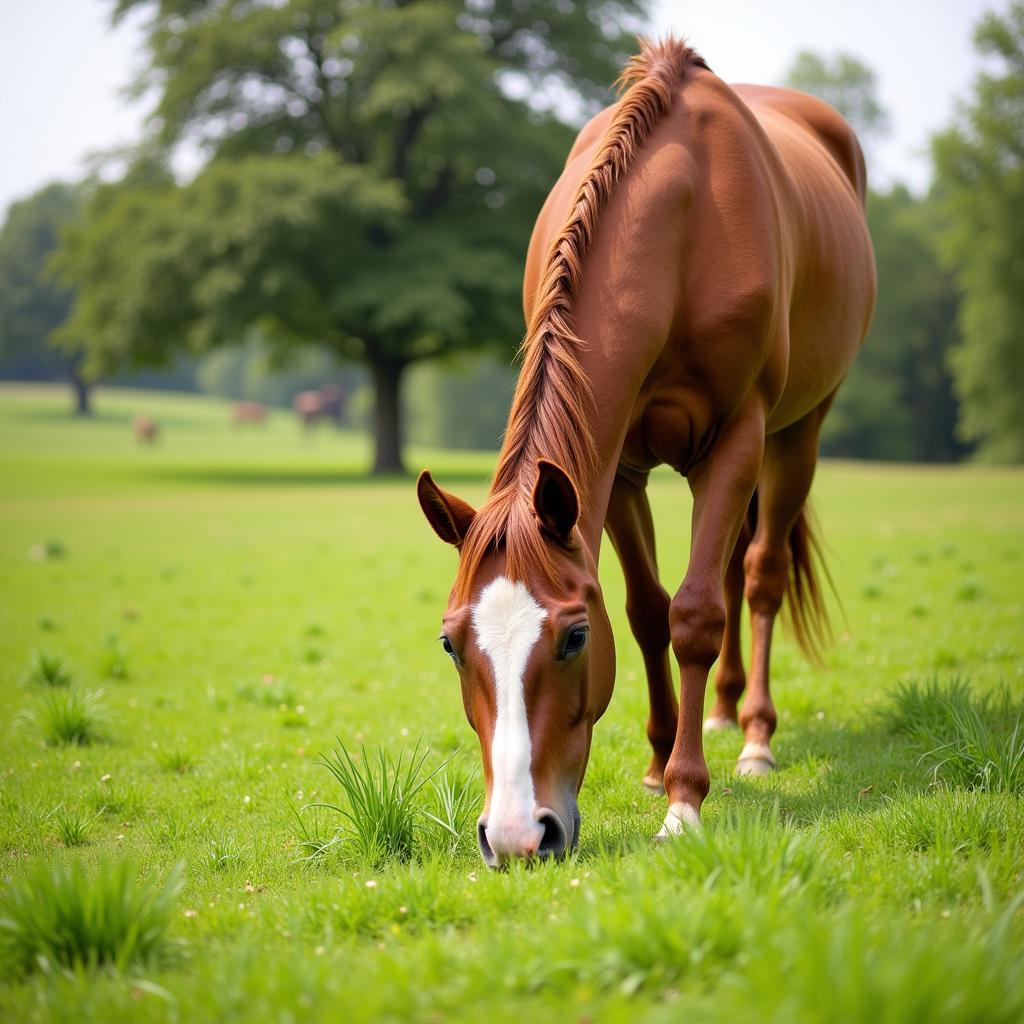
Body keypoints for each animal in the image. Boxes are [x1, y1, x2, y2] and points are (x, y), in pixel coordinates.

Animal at [415, 36, 872, 864]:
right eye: (450, 644)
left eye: (572, 638)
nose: (517, 836)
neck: (682, 226)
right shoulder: (615, 468)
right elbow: (650, 612)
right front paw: (661, 767)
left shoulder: (737, 438)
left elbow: (695, 614)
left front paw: (686, 800)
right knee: (730, 570)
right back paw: (719, 712)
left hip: (797, 435)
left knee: (758, 577)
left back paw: (754, 737)